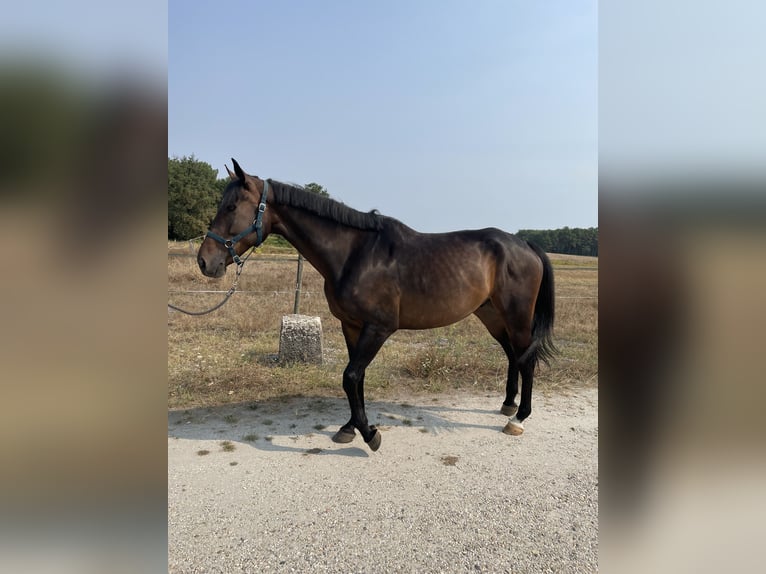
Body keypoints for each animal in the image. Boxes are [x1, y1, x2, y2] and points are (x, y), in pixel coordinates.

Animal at [197, 159, 556, 451]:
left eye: (231, 207)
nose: (204, 261)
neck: (355, 254)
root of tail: (523, 243)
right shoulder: (352, 326)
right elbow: (356, 377)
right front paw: (350, 427)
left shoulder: (378, 328)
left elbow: (351, 375)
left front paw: (369, 434)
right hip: (492, 315)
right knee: (512, 355)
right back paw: (507, 405)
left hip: (516, 315)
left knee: (525, 359)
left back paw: (517, 419)